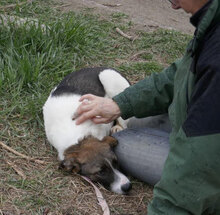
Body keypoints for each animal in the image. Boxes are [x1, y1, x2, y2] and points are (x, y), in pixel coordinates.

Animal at [43, 67, 131, 195]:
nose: (128, 186)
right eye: (100, 172)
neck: (79, 140)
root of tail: (99, 67)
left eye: (115, 161)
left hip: (108, 77)